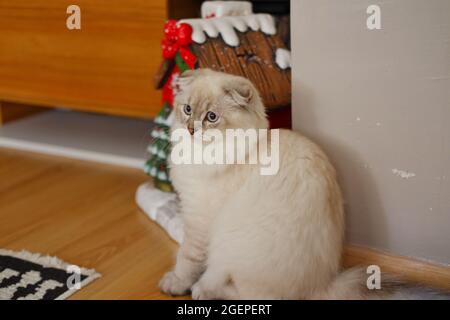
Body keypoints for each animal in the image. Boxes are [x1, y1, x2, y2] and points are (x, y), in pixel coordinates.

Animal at [158, 69, 442, 298]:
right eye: (187, 110)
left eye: (212, 117)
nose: (190, 129)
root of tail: (322, 286)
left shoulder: (199, 221)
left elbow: (186, 258)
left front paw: (174, 284)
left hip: (229, 247)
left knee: (238, 289)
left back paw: (201, 290)